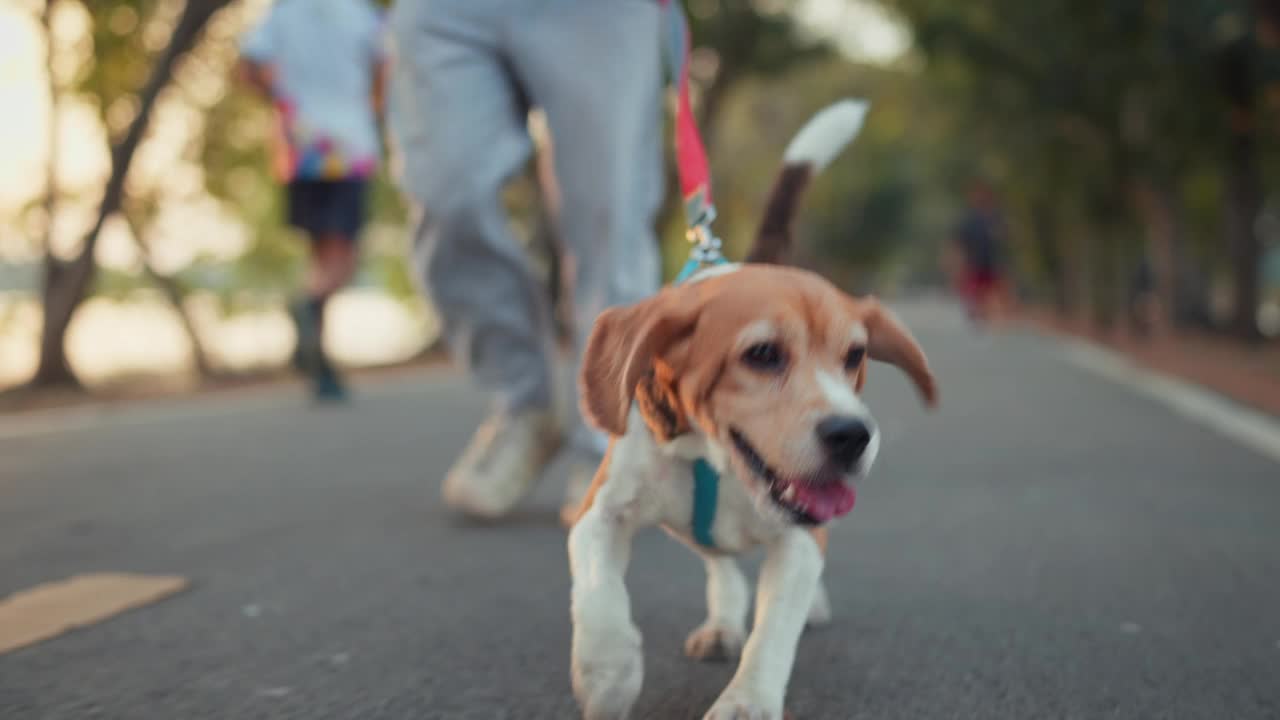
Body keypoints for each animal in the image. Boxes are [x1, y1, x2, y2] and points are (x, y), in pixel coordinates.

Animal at [570, 102, 942, 717]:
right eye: (762, 354)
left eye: (855, 355)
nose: (852, 435)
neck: (715, 461)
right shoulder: (600, 513)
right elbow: (599, 590)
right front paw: (608, 674)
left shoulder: (798, 542)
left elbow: (774, 633)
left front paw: (747, 700)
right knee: (721, 563)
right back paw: (721, 622)